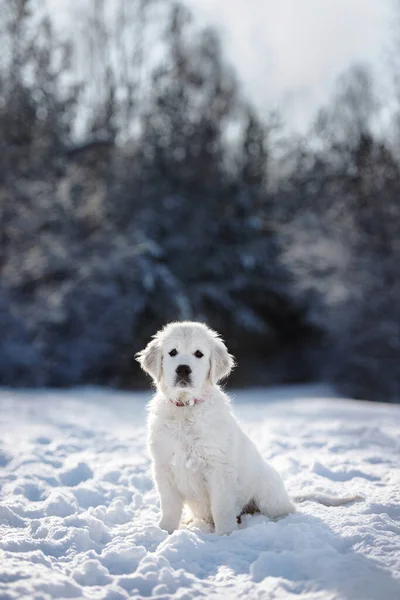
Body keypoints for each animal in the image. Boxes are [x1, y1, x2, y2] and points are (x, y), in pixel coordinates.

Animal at [136, 322, 296, 536]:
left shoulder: (218, 468)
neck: (186, 408)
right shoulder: (163, 466)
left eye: (199, 354)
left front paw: (225, 535)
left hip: (268, 492)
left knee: (285, 509)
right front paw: (164, 531)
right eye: (172, 352)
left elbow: (221, 507)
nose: (183, 369)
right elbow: (169, 506)